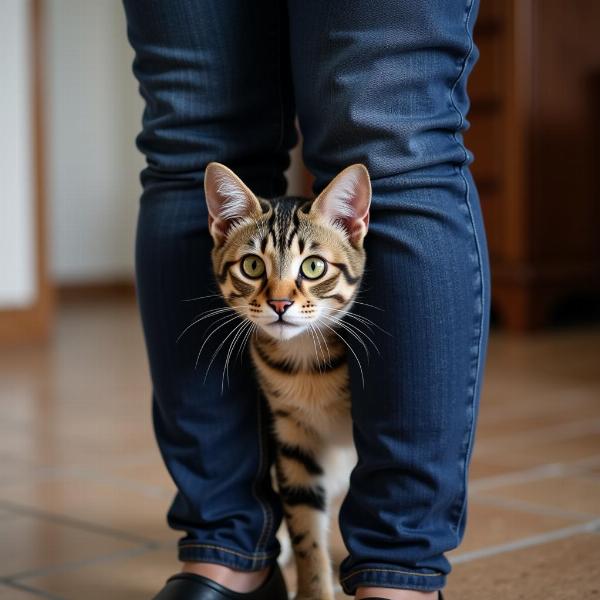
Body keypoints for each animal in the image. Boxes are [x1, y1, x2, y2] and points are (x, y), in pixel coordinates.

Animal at [203, 162, 370, 596]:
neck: (305, 366)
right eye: (252, 266)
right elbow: (305, 527)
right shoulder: (292, 437)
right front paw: (314, 589)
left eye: (313, 266)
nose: (279, 303)